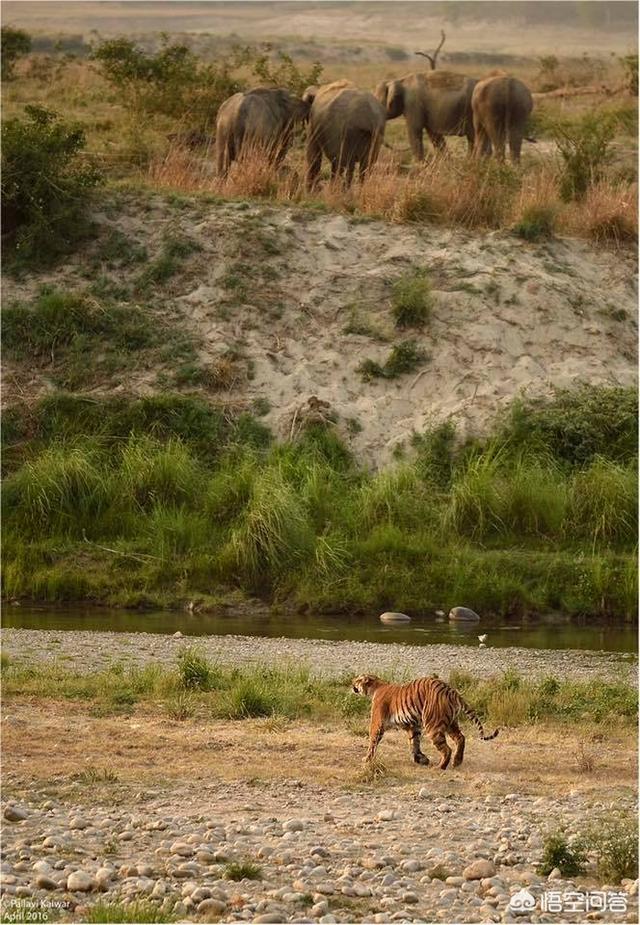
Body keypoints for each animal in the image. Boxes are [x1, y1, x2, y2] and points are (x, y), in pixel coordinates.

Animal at [352, 676, 498, 768]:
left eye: (358, 679)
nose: (351, 683)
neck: (375, 686)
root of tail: (451, 691)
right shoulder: (412, 726)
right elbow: (414, 743)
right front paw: (421, 759)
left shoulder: (377, 723)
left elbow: (373, 741)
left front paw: (367, 759)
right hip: (451, 723)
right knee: (461, 738)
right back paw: (457, 762)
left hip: (433, 725)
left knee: (447, 749)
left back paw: (440, 767)